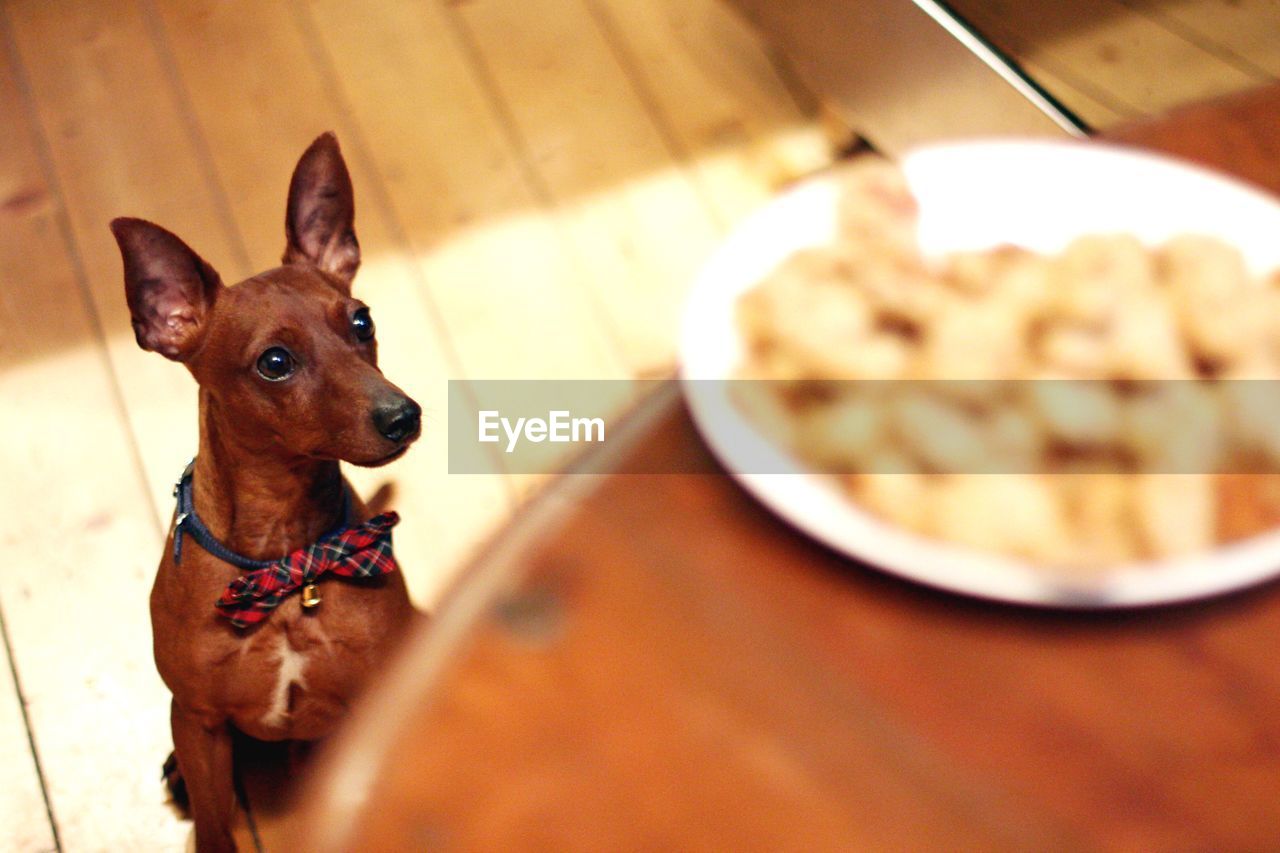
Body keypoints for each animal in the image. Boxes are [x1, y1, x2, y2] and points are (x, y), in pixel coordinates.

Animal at [111, 133, 414, 850]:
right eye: (275, 362)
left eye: (362, 322)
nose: (404, 416)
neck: (286, 560)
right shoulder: (199, 720)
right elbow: (215, 827)